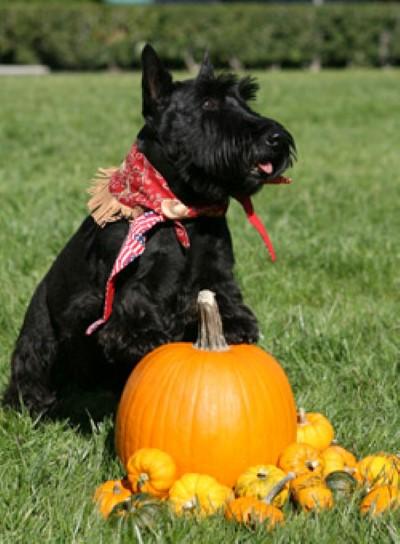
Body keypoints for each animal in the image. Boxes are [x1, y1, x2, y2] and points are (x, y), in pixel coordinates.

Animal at [2, 44, 294, 414]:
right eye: (208, 103)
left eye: (245, 98)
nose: (276, 138)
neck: (182, 210)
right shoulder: (116, 288)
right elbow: (130, 304)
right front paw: (143, 335)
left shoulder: (216, 270)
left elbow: (219, 294)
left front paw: (235, 324)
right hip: (37, 344)